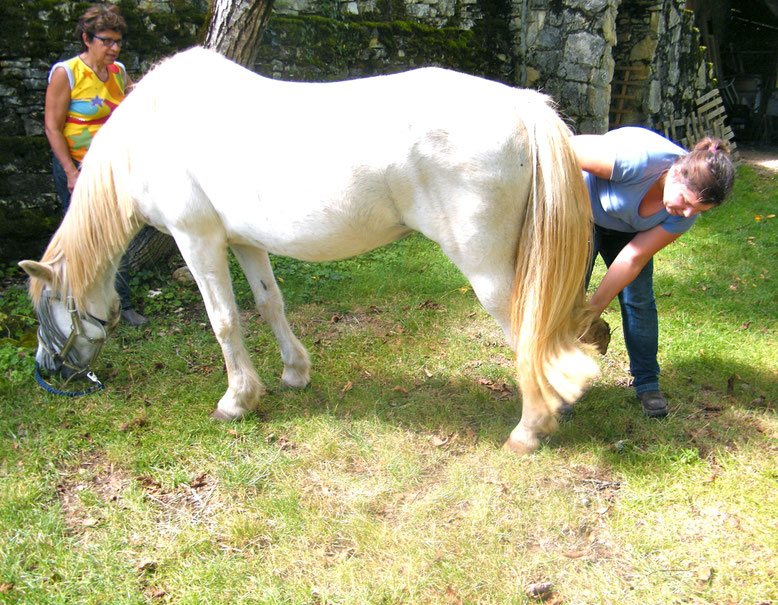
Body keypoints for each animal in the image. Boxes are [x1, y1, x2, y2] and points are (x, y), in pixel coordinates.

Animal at [19, 47, 600, 450]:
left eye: (47, 310)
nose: (51, 371)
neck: (154, 131)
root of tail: (520, 104)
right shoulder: (244, 242)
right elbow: (268, 303)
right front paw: (294, 373)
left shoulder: (196, 239)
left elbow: (223, 319)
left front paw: (236, 401)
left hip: (487, 269)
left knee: (527, 329)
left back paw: (530, 428)